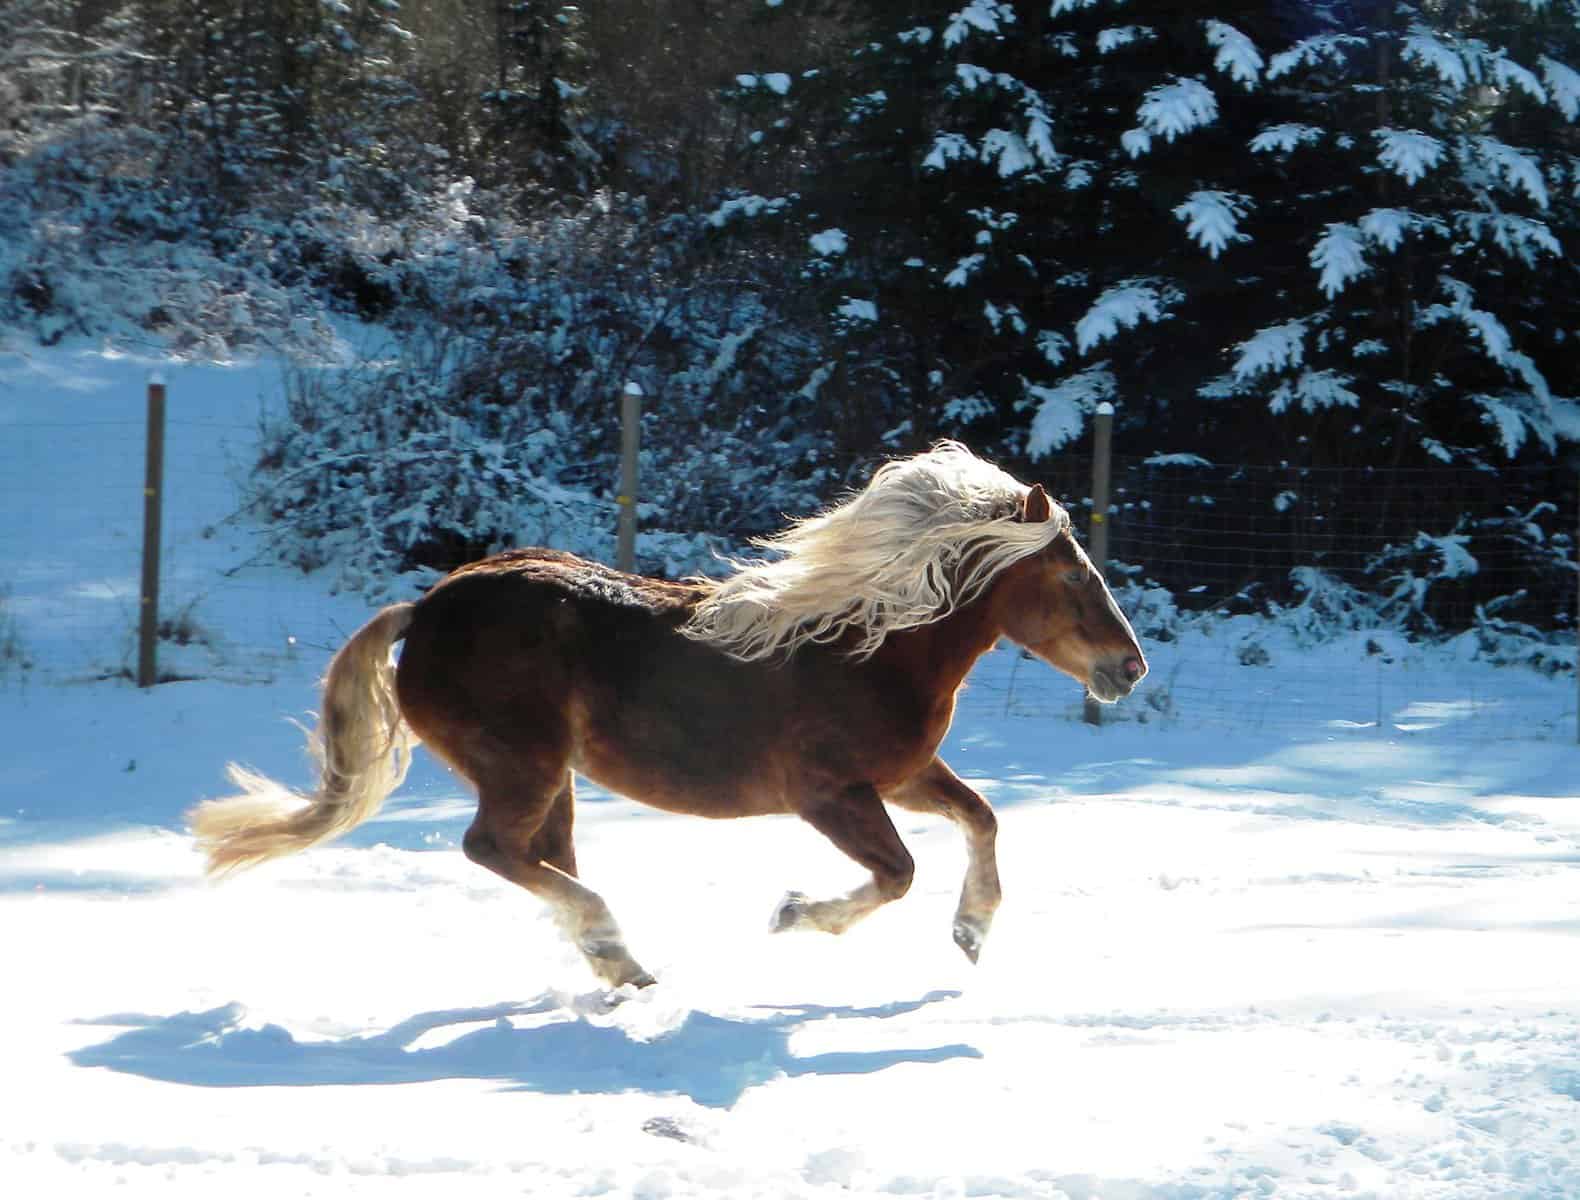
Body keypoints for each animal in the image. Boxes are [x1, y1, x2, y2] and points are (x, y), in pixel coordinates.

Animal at [190, 441, 1146, 988]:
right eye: (1073, 577)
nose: (1129, 669)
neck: (870, 645)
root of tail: (422, 611)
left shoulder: (904, 775)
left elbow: (982, 819)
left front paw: (973, 933)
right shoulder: (830, 794)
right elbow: (899, 872)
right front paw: (795, 914)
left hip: (555, 779)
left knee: (540, 858)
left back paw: (620, 966)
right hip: (521, 765)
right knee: (494, 849)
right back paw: (616, 948)